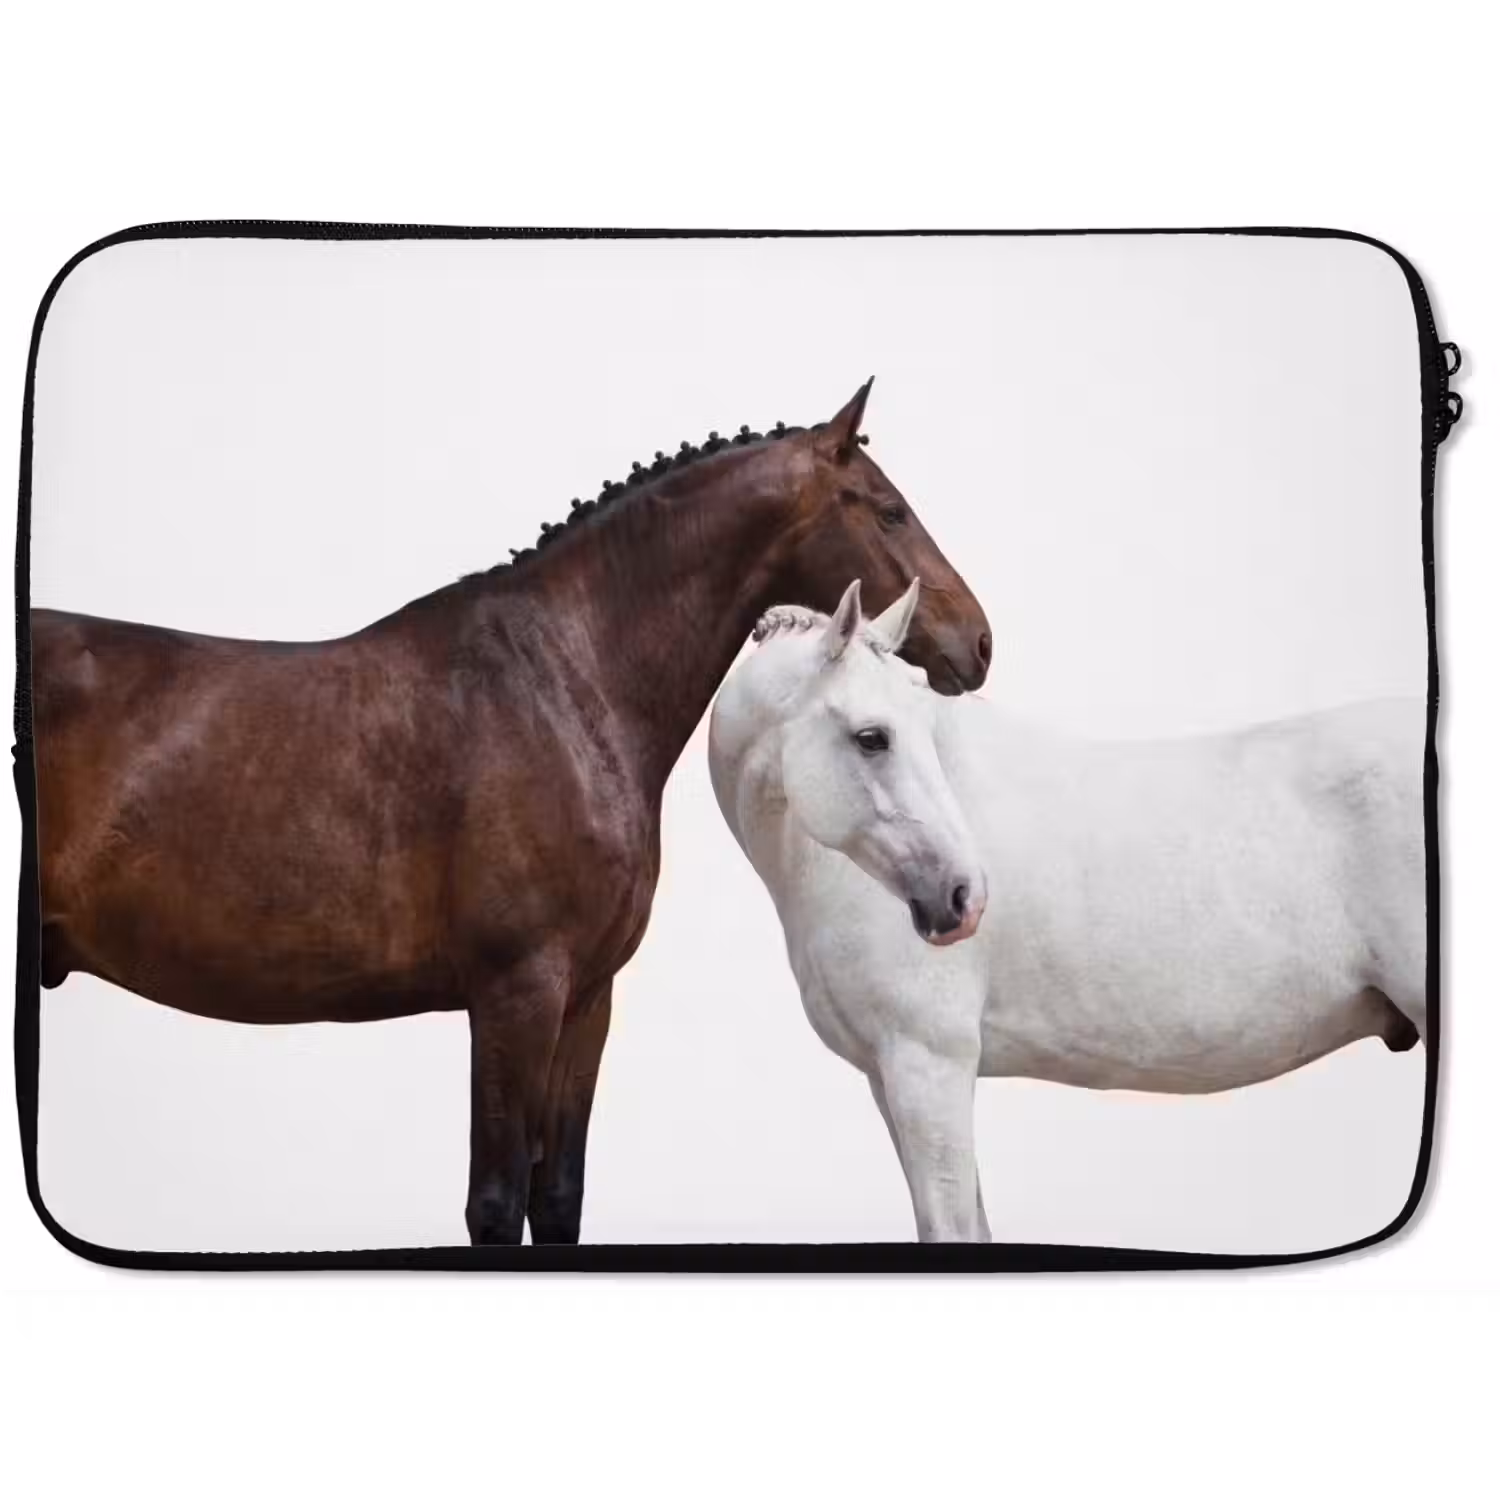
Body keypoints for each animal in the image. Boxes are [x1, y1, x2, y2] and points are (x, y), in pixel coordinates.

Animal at [27, 379, 993, 1247]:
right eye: (890, 511)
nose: (979, 641)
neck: (564, 683)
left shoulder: (586, 1000)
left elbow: (556, 1197)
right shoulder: (513, 993)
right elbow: (494, 1205)